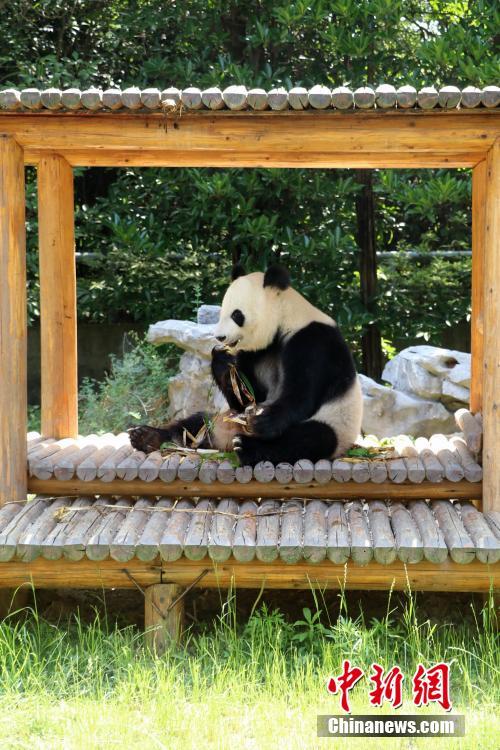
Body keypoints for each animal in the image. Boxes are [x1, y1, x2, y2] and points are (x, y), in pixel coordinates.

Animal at [129, 264, 363, 466]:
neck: (285, 319)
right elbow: (248, 397)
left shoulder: (313, 342)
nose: (220, 337)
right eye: (221, 312)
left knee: (312, 438)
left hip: (338, 424)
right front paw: (222, 361)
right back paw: (147, 436)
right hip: (219, 418)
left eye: (237, 315)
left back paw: (248, 447)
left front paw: (261, 421)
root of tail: (224, 440)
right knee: (196, 422)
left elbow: (301, 396)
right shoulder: (254, 353)